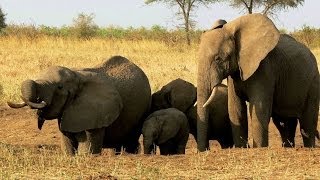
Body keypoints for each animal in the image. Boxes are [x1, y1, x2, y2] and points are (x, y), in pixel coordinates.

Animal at [196, 13, 318, 150]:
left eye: (218, 59)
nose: (205, 150)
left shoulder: (264, 67)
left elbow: (259, 109)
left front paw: (259, 148)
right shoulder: (235, 73)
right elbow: (235, 108)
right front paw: (242, 148)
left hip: (313, 82)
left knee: (307, 122)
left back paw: (309, 148)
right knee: (284, 123)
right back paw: (288, 147)